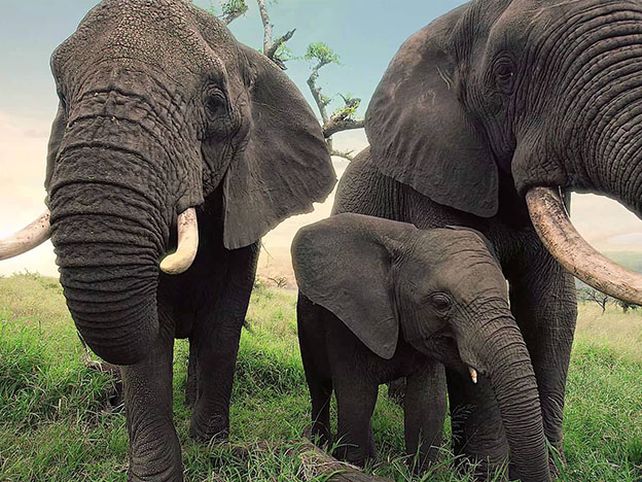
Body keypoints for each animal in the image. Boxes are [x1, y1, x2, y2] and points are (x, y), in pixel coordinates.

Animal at [0, 1, 335, 480]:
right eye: (62, 97)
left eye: (214, 103)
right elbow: (150, 336)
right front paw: (156, 472)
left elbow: (223, 322)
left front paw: (212, 448)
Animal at [293, 213, 548, 480]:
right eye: (441, 303)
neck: (406, 242)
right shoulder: (347, 323)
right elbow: (357, 399)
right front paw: (355, 466)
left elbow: (427, 403)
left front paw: (419, 474)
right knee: (320, 387)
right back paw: (321, 443)